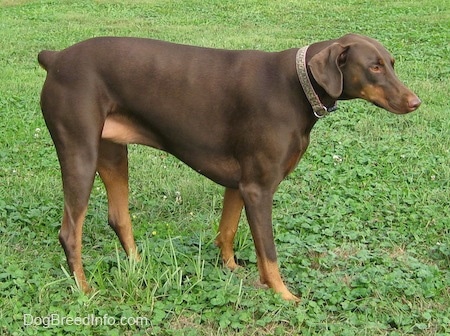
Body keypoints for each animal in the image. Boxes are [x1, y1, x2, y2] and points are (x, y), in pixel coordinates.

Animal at [37, 33, 420, 302]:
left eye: (391, 62)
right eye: (373, 67)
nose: (416, 102)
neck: (296, 86)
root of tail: (55, 58)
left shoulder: (240, 183)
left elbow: (228, 230)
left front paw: (232, 269)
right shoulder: (259, 188)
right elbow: (270, 253)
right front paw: (284, 296)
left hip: (113, 153)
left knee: (119, 217)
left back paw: (139, 266)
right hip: (80, 153)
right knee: (70, 232)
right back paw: (85, 290)